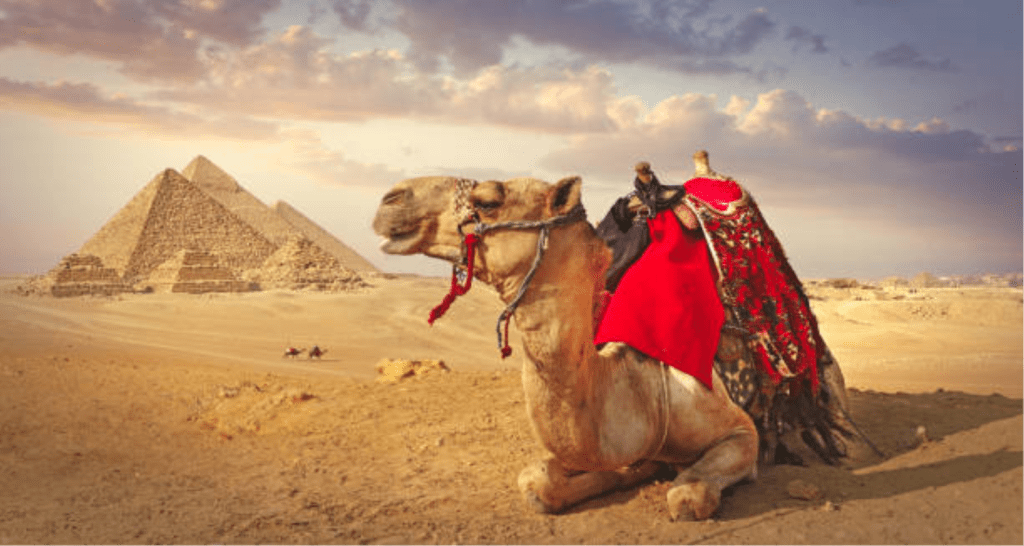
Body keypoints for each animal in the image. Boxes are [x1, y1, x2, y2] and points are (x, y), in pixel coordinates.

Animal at [371, 154, 854, 520]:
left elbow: (688, 494)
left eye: (488, 200)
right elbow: (539, 481)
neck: (638, 389)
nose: (390, 198)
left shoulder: (740, 432)